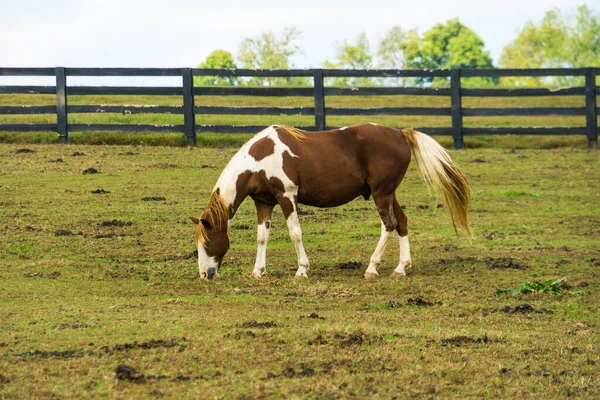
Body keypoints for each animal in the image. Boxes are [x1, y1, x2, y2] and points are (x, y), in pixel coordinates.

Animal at [190, 123, 472, 280]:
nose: (205, 275)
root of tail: (400, 134)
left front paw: (302, 270)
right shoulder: (264, 202)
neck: (260, 159)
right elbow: (262, 237)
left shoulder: (287, 197)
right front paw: (257, 271)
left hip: (381, 193)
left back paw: (372, 268)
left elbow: (294, 233)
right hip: (389, 193)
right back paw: (401, 268)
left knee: (389, 224)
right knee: (401, 222)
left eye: (207, 243)